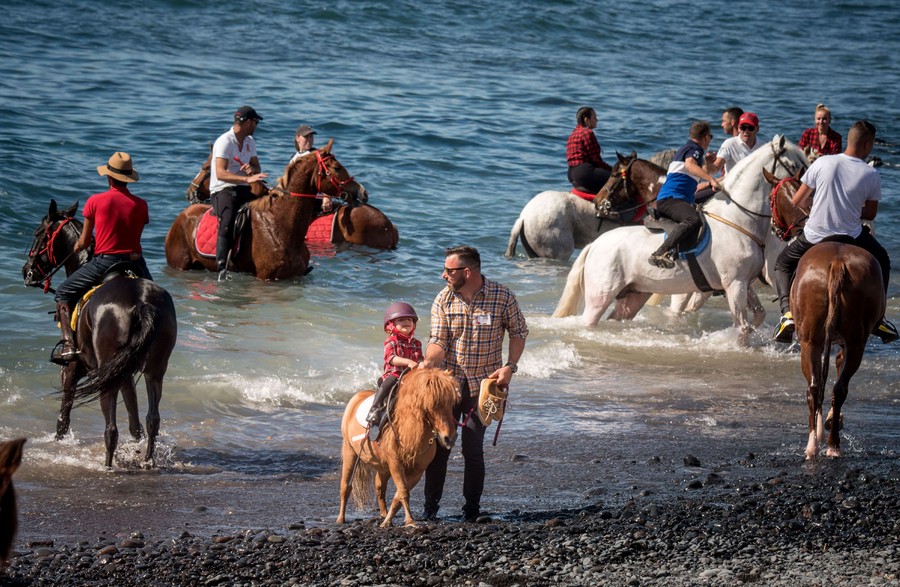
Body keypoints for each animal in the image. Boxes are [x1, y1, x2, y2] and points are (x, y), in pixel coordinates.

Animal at [23, 201, 178, 467]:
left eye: (38, 234)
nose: (27, 271)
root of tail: (142, 301)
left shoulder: (73, 368)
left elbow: (63, 417)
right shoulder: (123, 370)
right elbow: (135, 421)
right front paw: (135, 447)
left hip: (107, 371)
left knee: (111, 428)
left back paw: (107, 466)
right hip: (154, 369)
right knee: (152, 420)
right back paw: (148, 461)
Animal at [337, 368, 460, 527]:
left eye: (451, 403)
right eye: (433, 403)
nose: (450, 438)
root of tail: (356, 397)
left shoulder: (417, 470)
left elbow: (399, 494)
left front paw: (389, 520)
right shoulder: (395, 463)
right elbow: (403, 491)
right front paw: (410, 521)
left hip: (382, 466)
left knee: (380, 486)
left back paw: (383, 514)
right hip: (349, 451)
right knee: (345, 486)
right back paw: (340, 518)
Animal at [553, 135, 808, 344]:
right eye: (794, 166)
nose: (808, 198)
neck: (738, 218)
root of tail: (594, 245)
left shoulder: (742, 282)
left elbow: (758, 315)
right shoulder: (734, 284)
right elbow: (743, 327)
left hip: (633, 295)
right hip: (600, 296)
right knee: (590, 321)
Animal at [791, 242, 884, 459]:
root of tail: (837, 263)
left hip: (810, 341)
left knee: (817, 388)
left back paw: (816, 445)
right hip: (855, 342)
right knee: (836, 388)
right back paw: (831, 444)